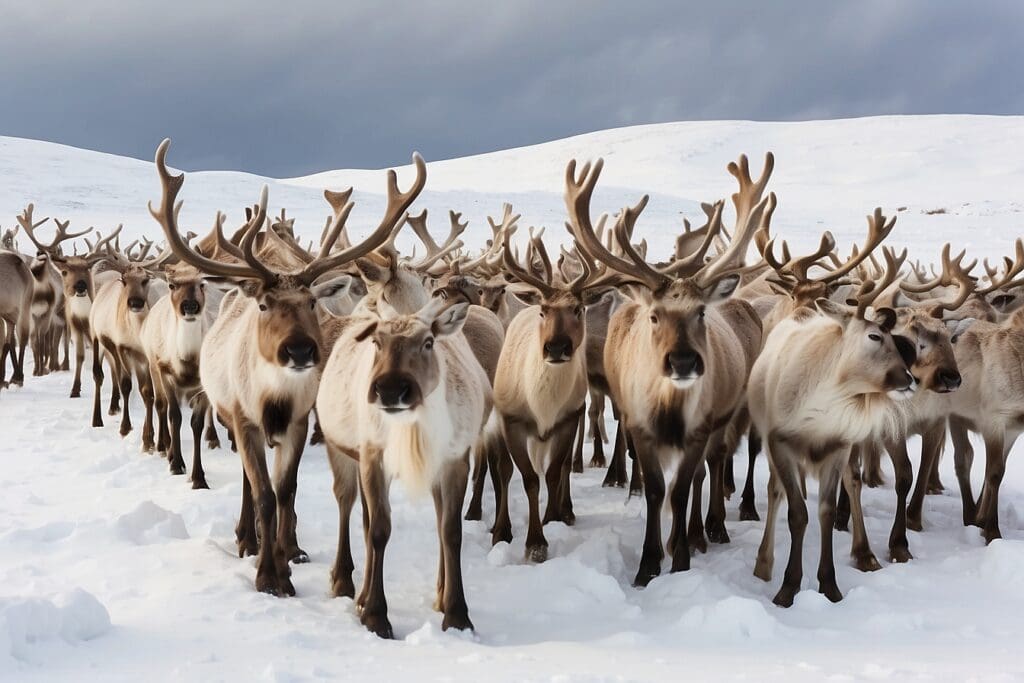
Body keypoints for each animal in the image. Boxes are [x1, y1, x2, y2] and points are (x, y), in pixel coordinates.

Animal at [150, 138, 426, 596]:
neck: (274, 397)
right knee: (248, 481)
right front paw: (267, 573)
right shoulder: (243, 419)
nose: (300, 350)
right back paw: (246, 536)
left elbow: (285, 490)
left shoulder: (298, 421)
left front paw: (285, 560)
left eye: (312, 302)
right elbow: (262, 492)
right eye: (264, 305)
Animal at [565, 154, 772, 587]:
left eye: (701, 312)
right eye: (655, 316)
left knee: (710, 469)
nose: (683, 362)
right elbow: (657, 491)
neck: (668, 409)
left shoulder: (700, 428)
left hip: (727, 414)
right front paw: (648, 564)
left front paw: (679, 560)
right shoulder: (639, 425)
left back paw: (706, 530)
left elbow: (680, 489)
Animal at [749, 241, 917, 606]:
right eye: (875, 336)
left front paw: (829, 583)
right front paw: (788, 587)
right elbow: (797, 513)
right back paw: (763, 562)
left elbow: (826, 511)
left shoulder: (838, 447)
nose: (909, 378)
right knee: (774, 491)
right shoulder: (779, 443)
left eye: (895, 338)